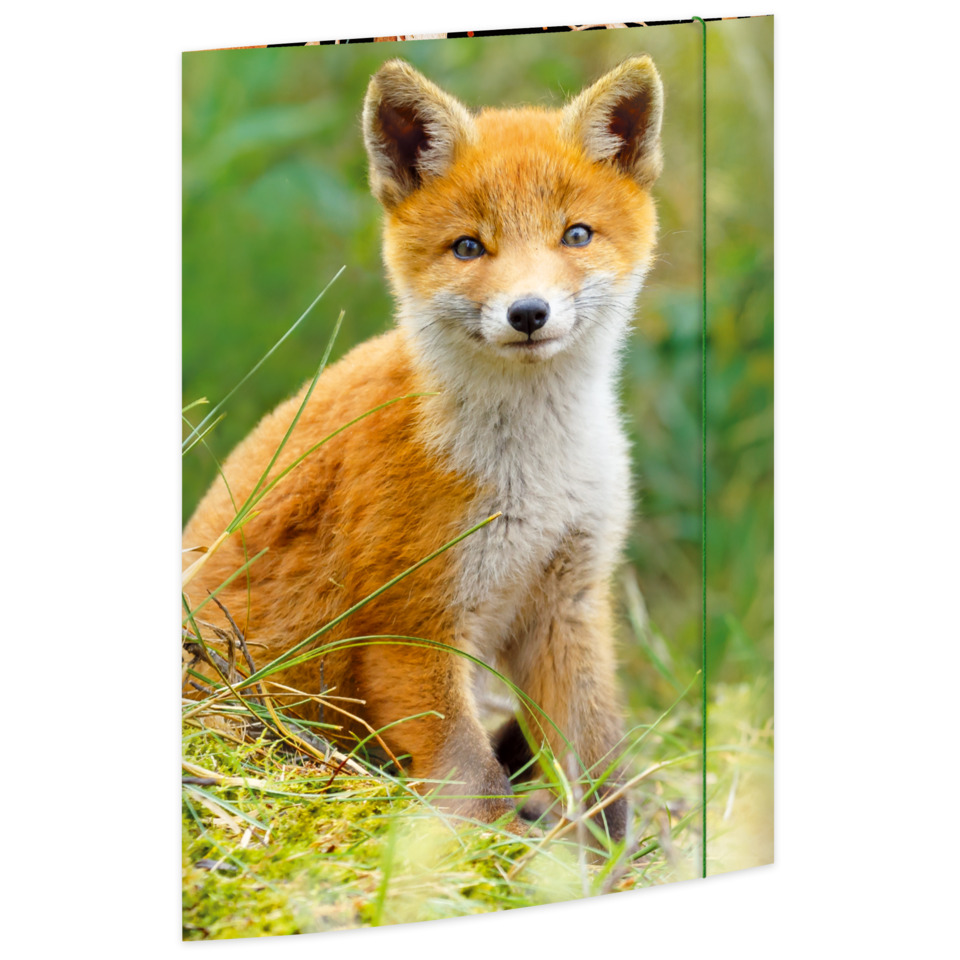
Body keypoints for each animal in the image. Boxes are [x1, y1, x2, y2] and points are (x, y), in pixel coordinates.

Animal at [182, 56, 664, 841]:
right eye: (469, 247)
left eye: (576, 235)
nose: (528, 313)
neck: (535, 474)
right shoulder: (412, 622)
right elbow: (478, 782)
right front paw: (480, 858)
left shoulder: (568, 600)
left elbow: (598, 772)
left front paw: (607, 860)